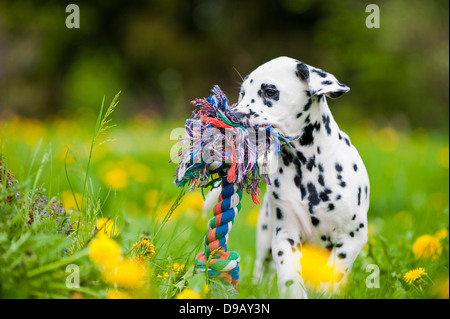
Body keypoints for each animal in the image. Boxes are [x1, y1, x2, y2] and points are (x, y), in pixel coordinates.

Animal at [204, 56, 370, 298]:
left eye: (270, 91)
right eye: (242, 93)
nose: (232, 116)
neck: (307, 168)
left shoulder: (351, 238)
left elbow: (333, 274)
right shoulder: (285, 236)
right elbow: (290, 278)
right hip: (265, 239)